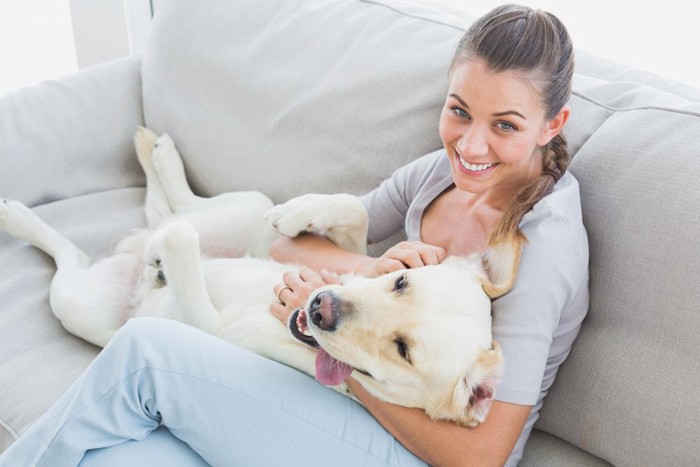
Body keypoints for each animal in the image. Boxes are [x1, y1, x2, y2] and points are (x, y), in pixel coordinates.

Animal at [0, 127, 524, 428]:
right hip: (248, 207)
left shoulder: (205, 326)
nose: (321, 307)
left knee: (85, 249)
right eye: (401, 284)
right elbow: (354, 214)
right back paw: (157, 153)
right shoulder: (353, 257)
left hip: (78, 304)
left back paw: (24, 218)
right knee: (180, 206)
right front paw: (302, 213)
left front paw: (166, 258)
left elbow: (180, 243)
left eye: (403, 350)